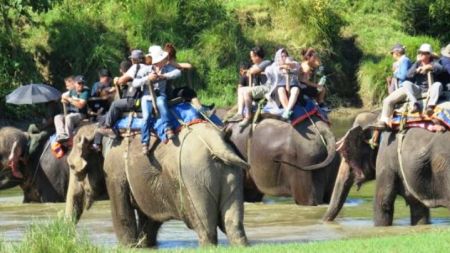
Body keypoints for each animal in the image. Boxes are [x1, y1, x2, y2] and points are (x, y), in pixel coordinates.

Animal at [66, 122, 250, 247]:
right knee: (233, 225)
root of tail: (216, 142)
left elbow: (122, 215)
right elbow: (149, 218)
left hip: (194, 179)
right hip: (231, 174)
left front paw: (128, 246)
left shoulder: (114, 171)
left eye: (72, 167)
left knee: (206, 228)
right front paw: (144, 246)